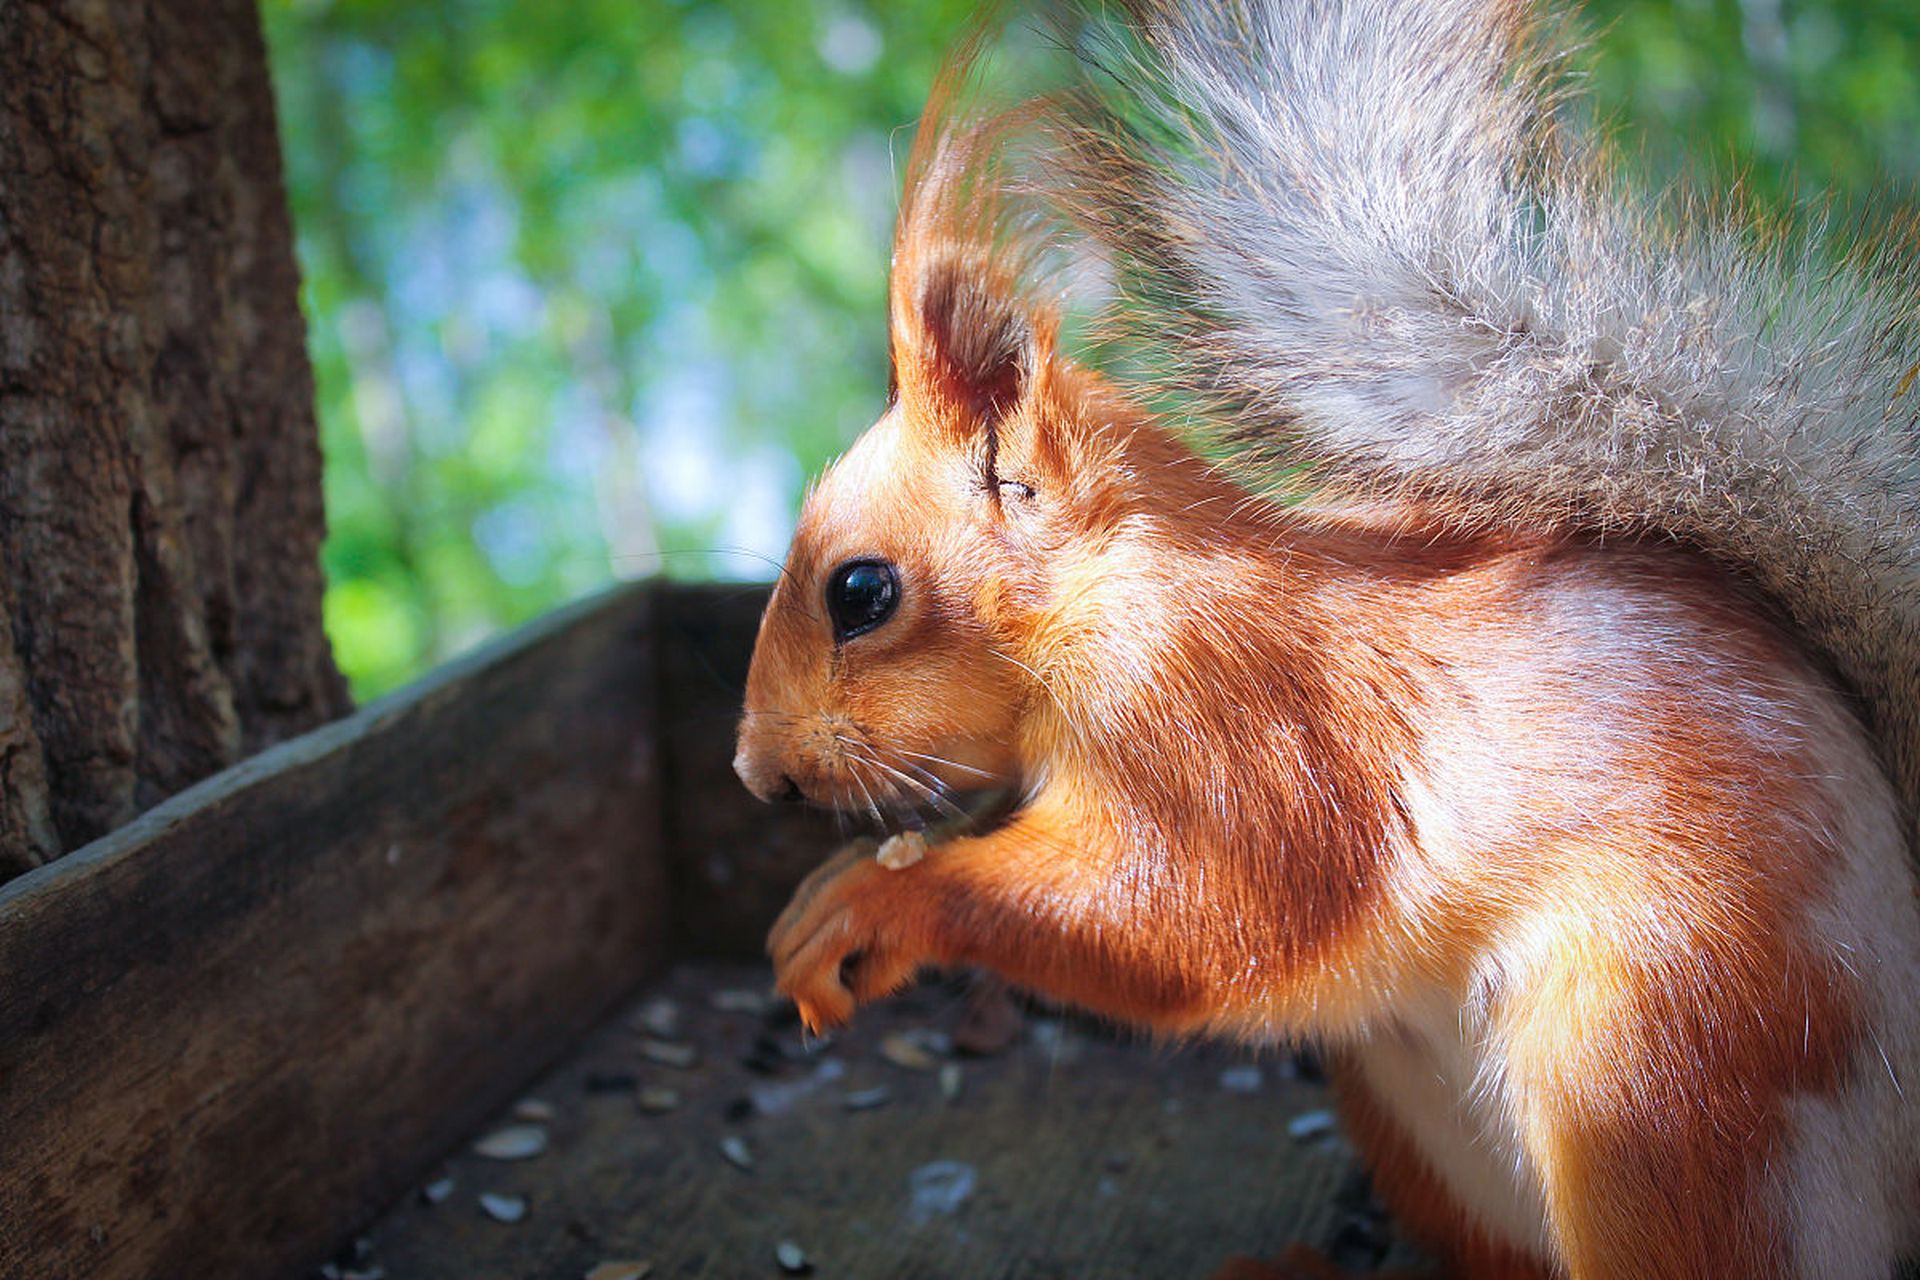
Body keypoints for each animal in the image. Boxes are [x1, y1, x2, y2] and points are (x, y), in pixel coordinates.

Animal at [729, 5, 1920, 1274]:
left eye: (861, 590)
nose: (758, 773)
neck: (1119, 581)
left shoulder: (1237, 717)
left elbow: (1199, 918)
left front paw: (880, 901)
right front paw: (840, 889)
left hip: (1660, 1074)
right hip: (1418, 1115)